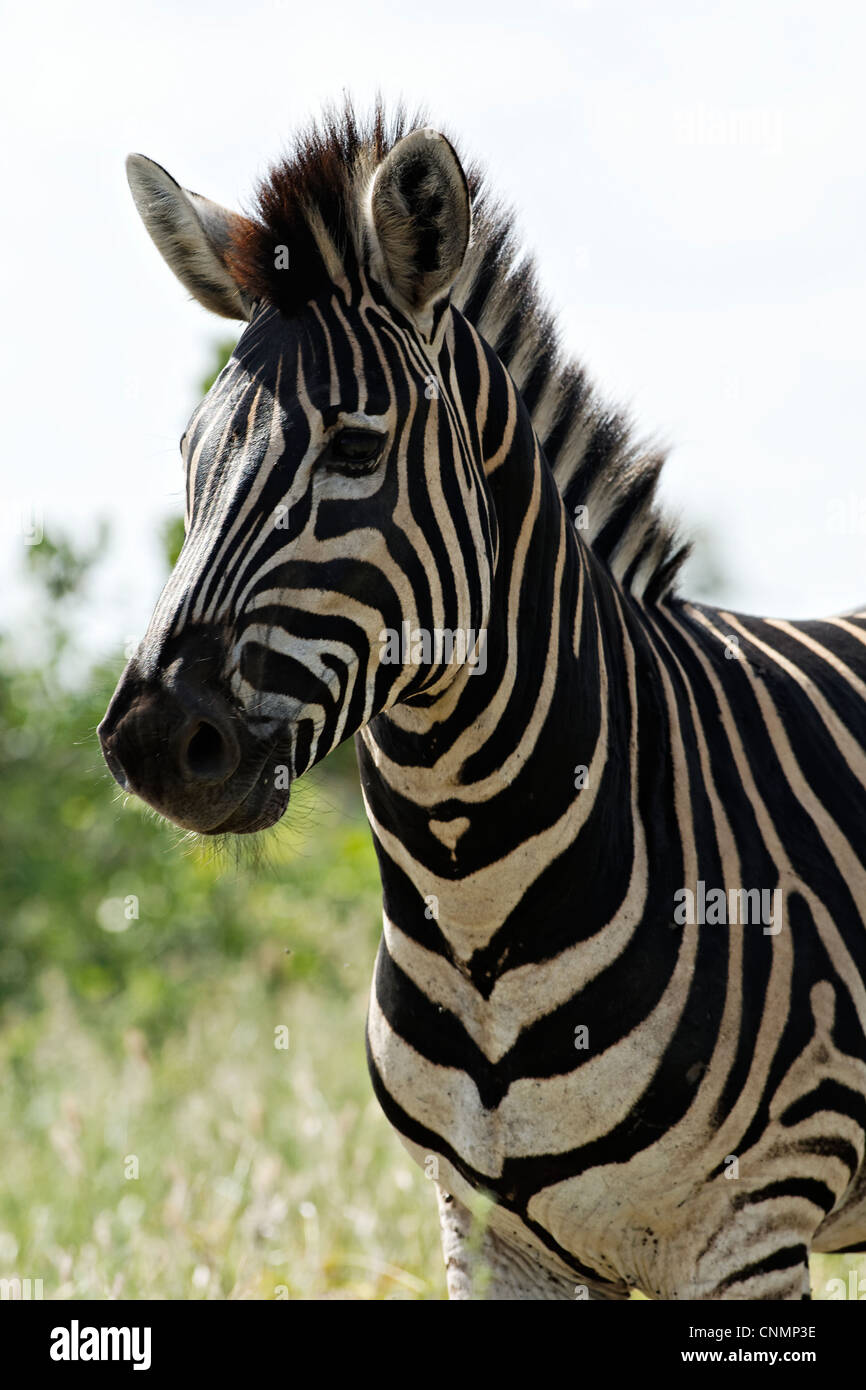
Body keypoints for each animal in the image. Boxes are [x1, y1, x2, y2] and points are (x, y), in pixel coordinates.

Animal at [99, 101, 866, 1300]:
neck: (477, 905)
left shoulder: (753, 1230)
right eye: (189, 452)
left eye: (356, 446)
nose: (151, 741)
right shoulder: (488, 1229)